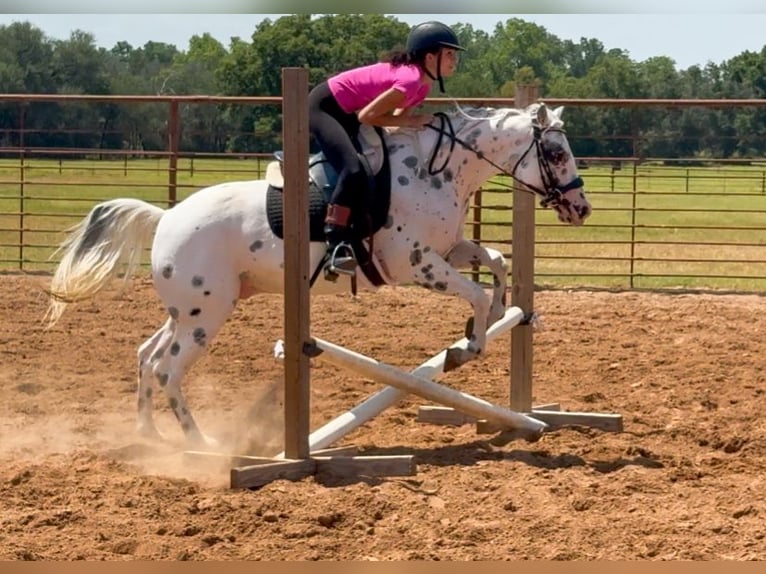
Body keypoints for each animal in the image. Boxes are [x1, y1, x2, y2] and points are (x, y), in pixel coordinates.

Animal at [45, 102, 591, 447]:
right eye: (556, 154)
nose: (581, 208)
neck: (434, 172)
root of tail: (165, 219)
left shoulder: (445, 250)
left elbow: (495, 262)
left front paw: (498, 315)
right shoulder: (413, 263)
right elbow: (474, 294)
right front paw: (465, 348)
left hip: (190, 308)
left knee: (146, 356)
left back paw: (149, 436)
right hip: (207, 315)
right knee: (168, 371)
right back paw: (202, 443)